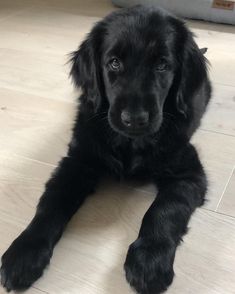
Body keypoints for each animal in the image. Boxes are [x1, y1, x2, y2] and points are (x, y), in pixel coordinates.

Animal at [0, 5, 212, 294]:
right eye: (114, 63)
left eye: (162, 65)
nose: (134, 118)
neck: (128, 142)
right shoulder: (77, 161)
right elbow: (50, 203)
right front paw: (23, 253)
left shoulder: (188, 173)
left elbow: (164, 209)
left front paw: (149, 261)